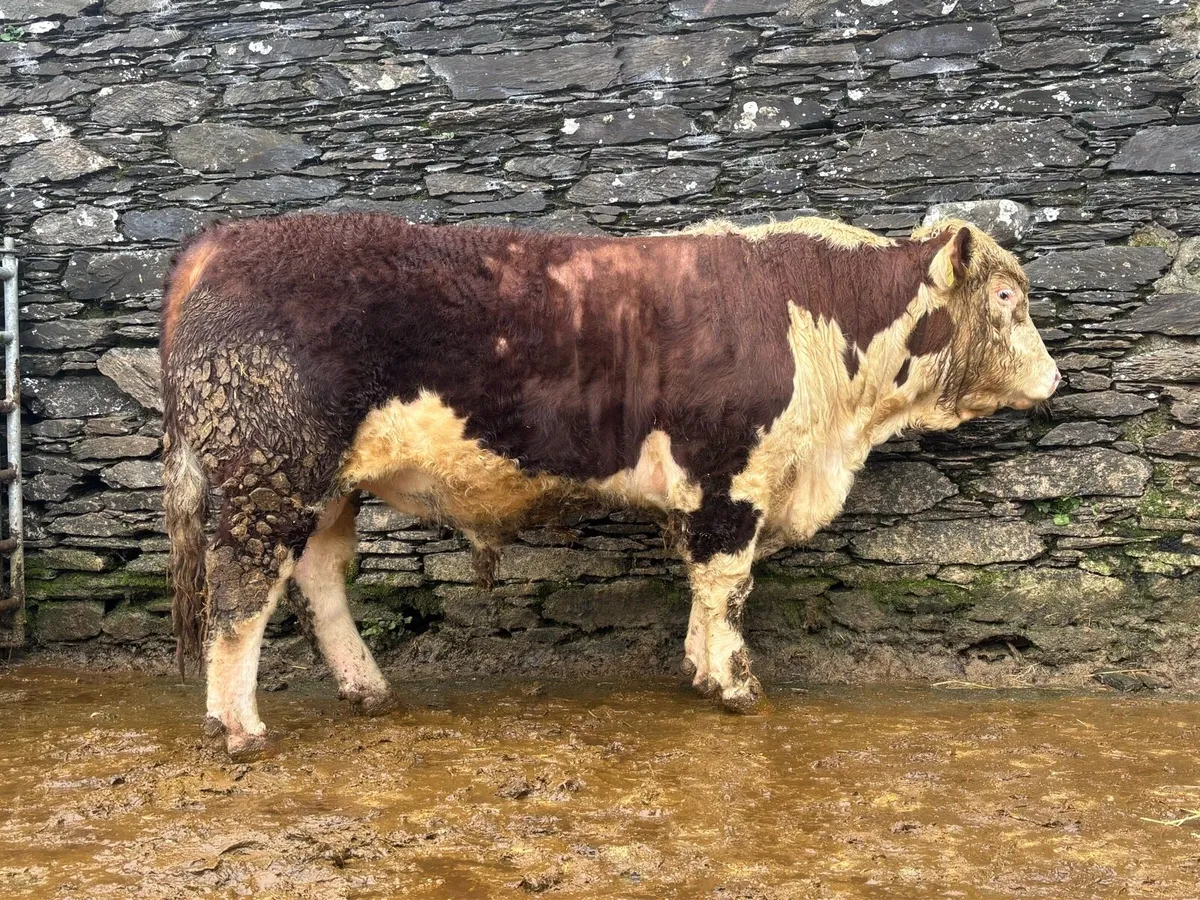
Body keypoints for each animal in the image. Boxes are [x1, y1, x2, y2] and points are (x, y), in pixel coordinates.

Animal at [160, 212, 1059, 755]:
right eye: (1006, 298)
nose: (1054, 377)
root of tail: (220, 242)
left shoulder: (705, 492)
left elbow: (702, 585)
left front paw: (698, 669)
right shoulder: (731, 475)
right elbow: (729, 583)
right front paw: (737, 687)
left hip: (324, 484)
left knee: (318, 575)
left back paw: (367, 690)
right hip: (268, 471)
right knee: (242, 590)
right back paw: (239, 727)